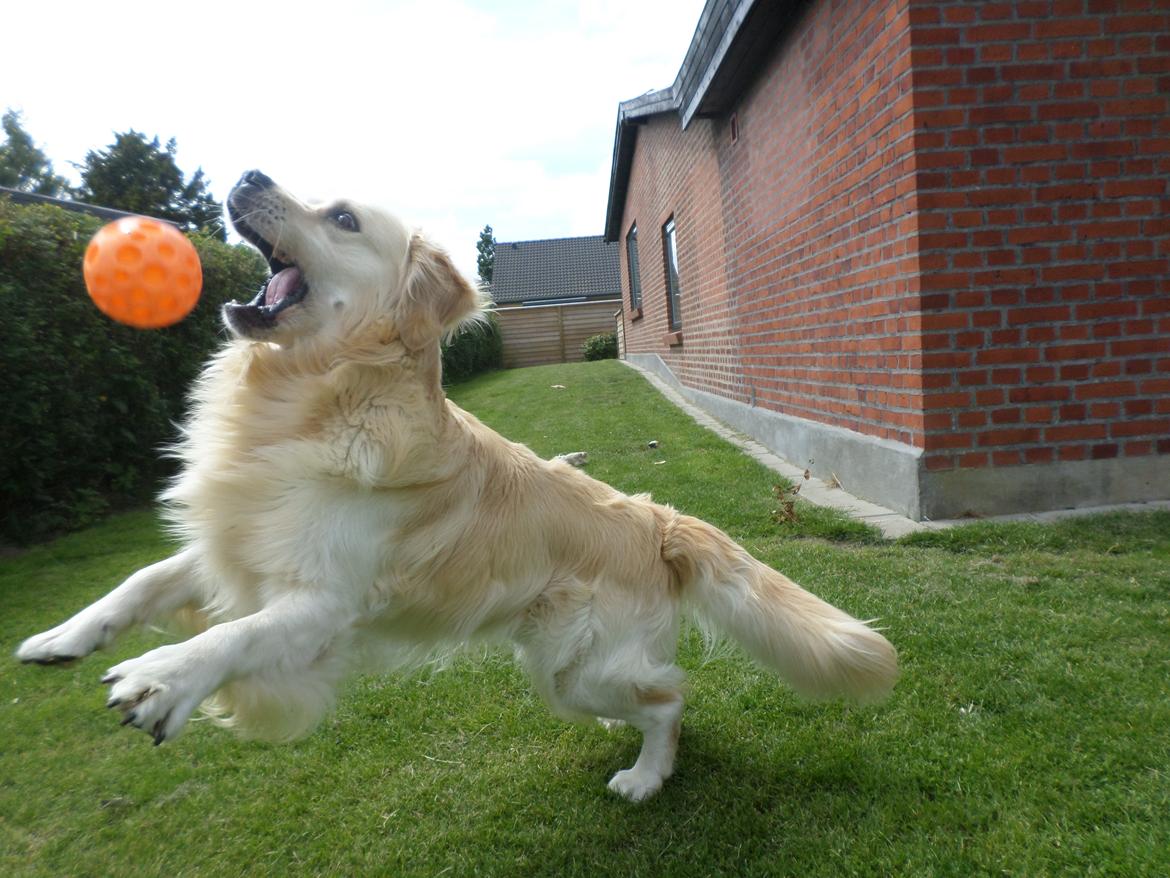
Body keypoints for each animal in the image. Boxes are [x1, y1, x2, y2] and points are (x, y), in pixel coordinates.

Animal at [16, 172, 893, 805]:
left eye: (342, 219)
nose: (248, 172)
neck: (313, 397)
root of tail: (657, 518)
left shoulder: (324, 602)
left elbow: (235, 636)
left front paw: (164, 678)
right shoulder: (245, 539)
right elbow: (142, 577)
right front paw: (64, 636)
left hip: (577, 669)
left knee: (671, 701)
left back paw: (646, 776)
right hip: (568, 673)